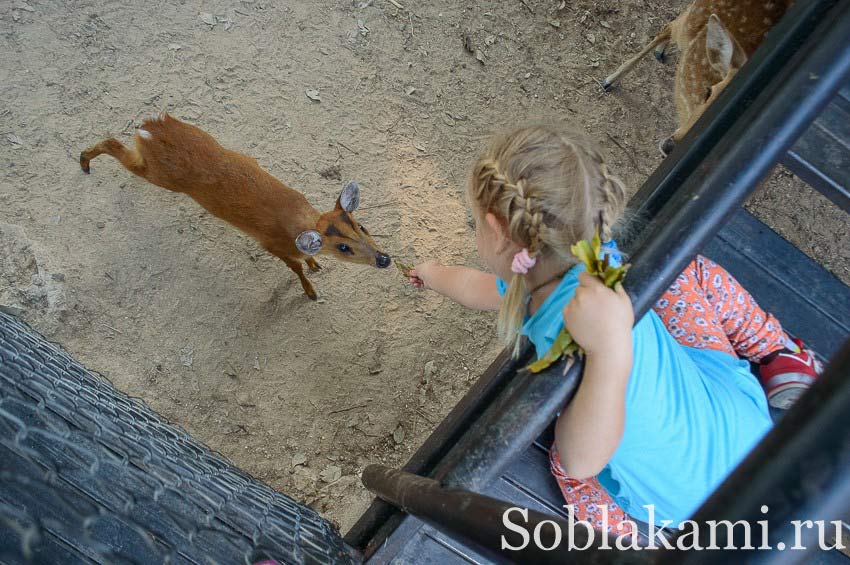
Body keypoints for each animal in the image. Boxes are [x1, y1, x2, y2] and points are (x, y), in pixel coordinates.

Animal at [79, 113, 390, 300]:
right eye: (343, 248)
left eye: (362, 226)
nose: (384, 259)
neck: (297, 221)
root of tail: (150, 130)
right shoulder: (270, 244)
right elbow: (295, 268)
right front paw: (311, 291)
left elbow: (307, 261)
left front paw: (315, 265)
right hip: (160, 175)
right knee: (113, 143)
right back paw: (84, 162)